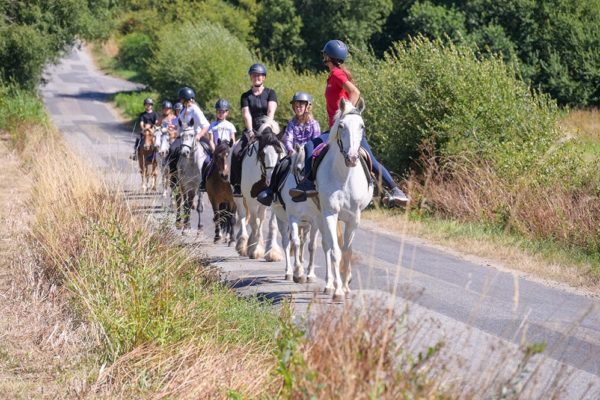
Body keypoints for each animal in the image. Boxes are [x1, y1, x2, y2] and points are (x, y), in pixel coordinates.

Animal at [233, 119, 284, 260]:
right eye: (262, 153)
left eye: (279, 152)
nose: (271, 180)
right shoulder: (250, 200)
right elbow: (254, 223)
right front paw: (255, 250)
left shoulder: (274, 200)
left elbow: (271, 224)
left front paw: (272, 252)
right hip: (238, 196)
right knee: (244, 215)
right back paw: (243, 244)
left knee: (259, 217)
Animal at [316, 98, 372, 302]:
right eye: (341, 126)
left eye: (362, 126)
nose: (352, 158)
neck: (343, 176)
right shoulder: (330, 214)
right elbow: (335, 250)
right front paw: (338, 290)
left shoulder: (354, 217)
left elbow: (347, 250)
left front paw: (346, 286)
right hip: (320, 214)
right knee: (326, 245)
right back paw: (329, 284)